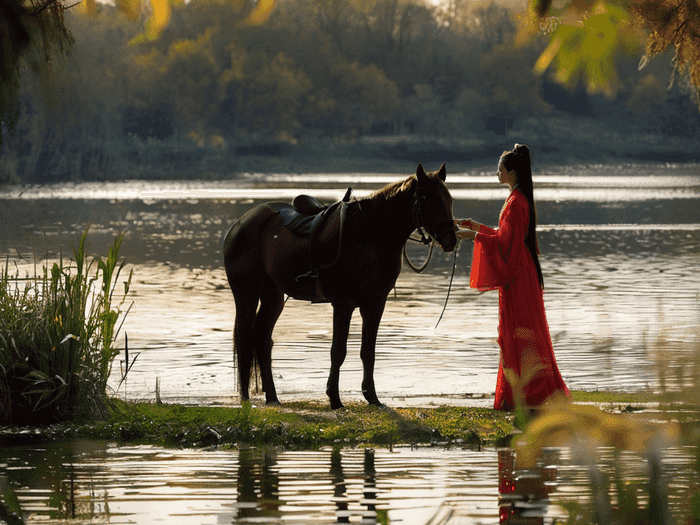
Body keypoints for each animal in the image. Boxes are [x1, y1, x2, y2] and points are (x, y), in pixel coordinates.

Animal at [221, 162, 456, 408]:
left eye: (449, 198)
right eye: (427, 198)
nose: (451, 239)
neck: (370, 236)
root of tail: (239, 225)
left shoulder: (374, 304)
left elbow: (368, 352)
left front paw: (372, 397)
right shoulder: (343, 304)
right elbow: (338, 351)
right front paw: (334, 398)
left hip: (273, 295)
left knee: (262, 339)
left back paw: (273, 397)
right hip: (246, 293)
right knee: (244, 337)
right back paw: (245, 398)